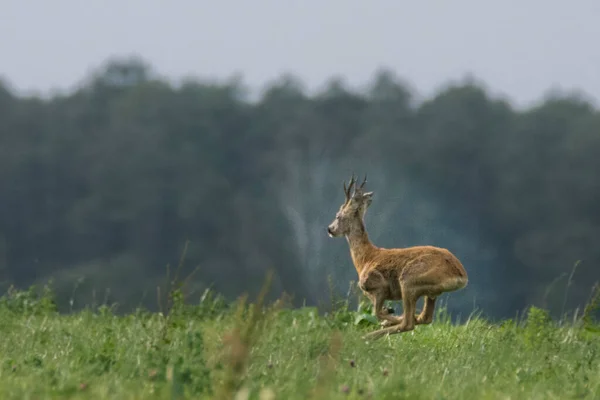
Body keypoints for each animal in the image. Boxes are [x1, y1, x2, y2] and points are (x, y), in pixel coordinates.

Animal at [326, 173, 466, 340]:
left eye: (338, 216)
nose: (330, 229)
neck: (365, 259)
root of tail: (461, 275)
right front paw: (388, 315)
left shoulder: (378, 286)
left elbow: (378, 313)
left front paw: (388, 315)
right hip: (430, 292)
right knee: (424, 318)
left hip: (408, 279)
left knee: (408, 322)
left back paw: (367, 337)